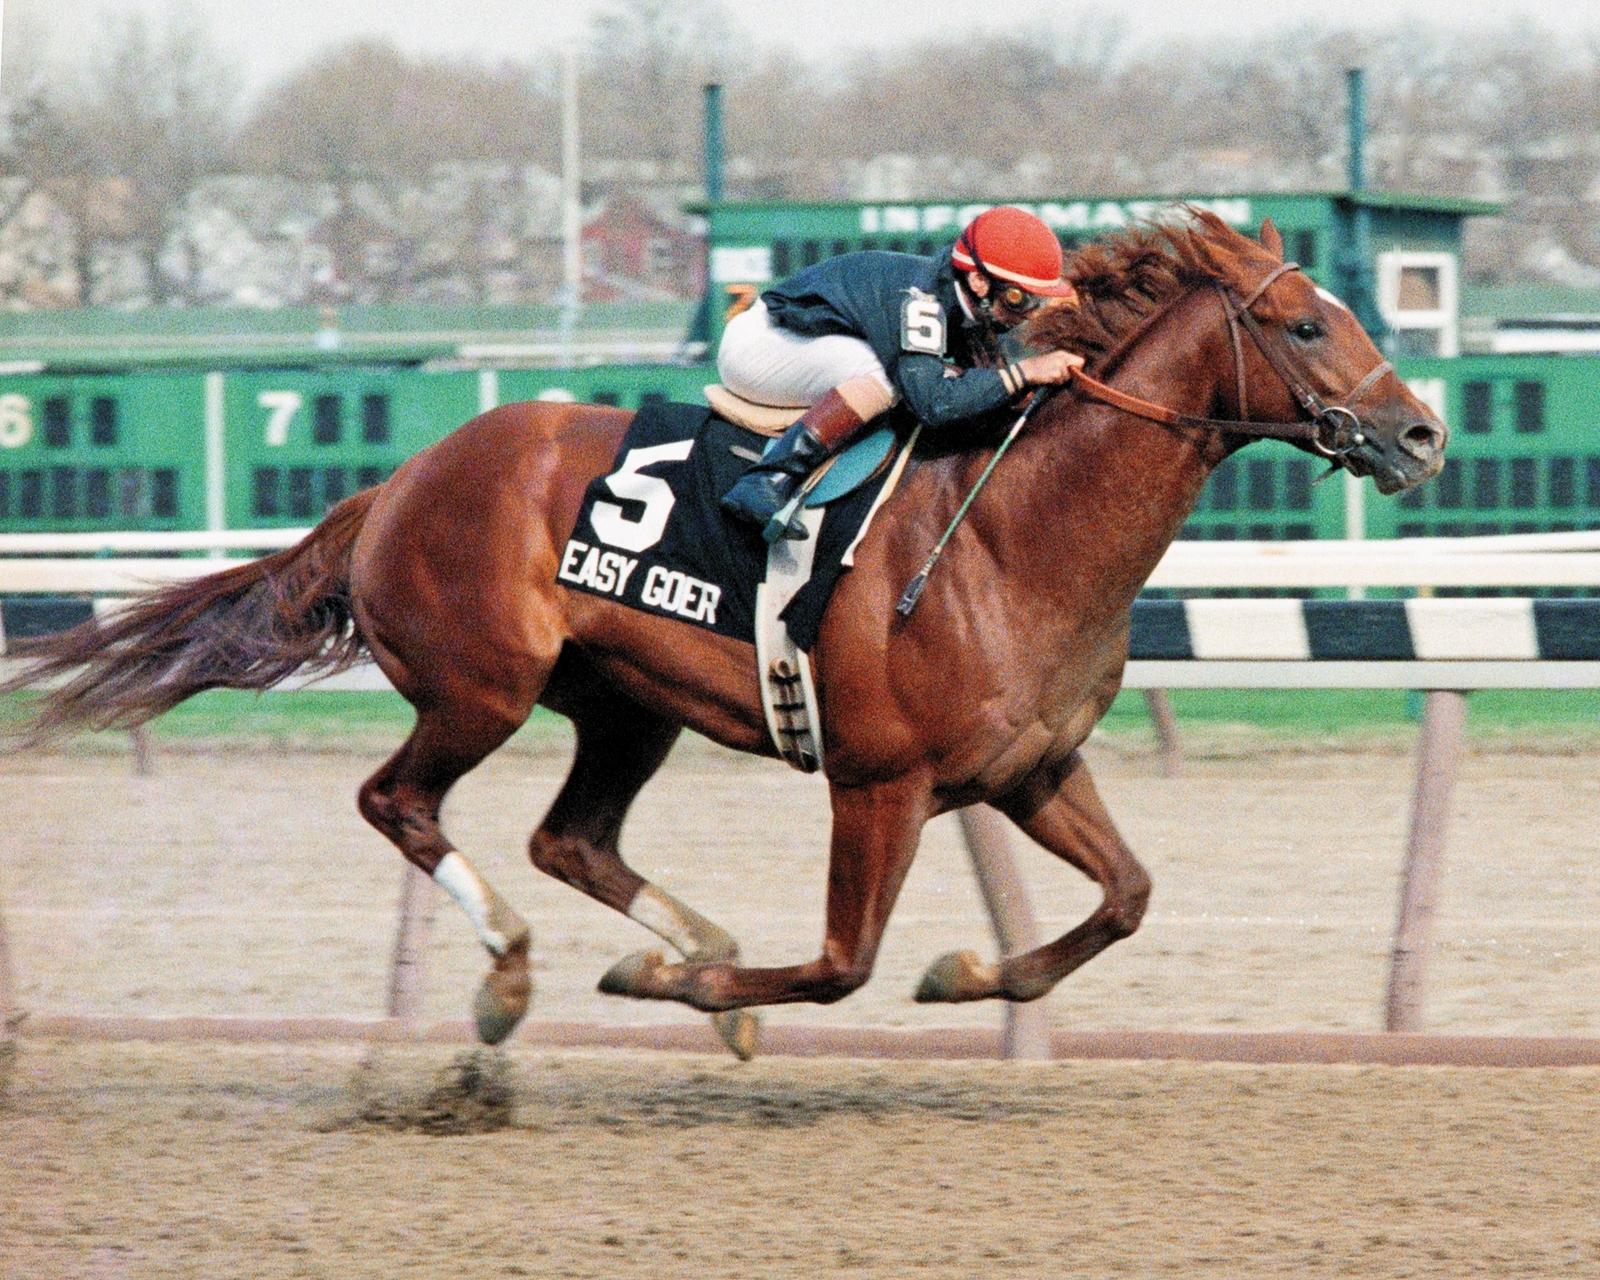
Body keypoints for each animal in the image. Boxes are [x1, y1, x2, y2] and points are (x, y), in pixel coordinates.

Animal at [2, 213, 1447, 1059]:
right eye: (1306, 322)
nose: (1423, 431)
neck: (1003, 532)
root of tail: (399, 479)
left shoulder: (1029, 766)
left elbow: (1128, 898)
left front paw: (964, 970)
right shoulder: (881, 782)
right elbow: (840, 965)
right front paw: (697, 993)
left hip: (622, 704)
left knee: (569, 837)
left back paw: (678, 938)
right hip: (480, 687)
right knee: (400, 802)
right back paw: (518, 974)